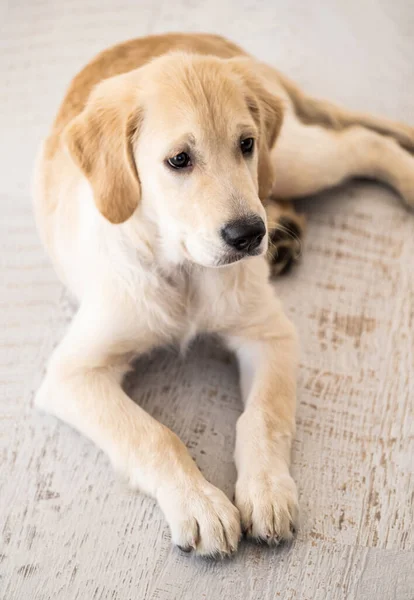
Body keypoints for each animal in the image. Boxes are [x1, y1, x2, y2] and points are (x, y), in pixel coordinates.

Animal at [33, 32, 414, 556]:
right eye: (179, 160)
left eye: (246, 144)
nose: (250, 235)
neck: (184, 269)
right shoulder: (73, 374)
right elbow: (152, 435)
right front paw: (200, 505)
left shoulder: (269, 334)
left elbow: (263, 417)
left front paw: (267, 491)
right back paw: (286, 232)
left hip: (292, 159)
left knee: (362, 142)